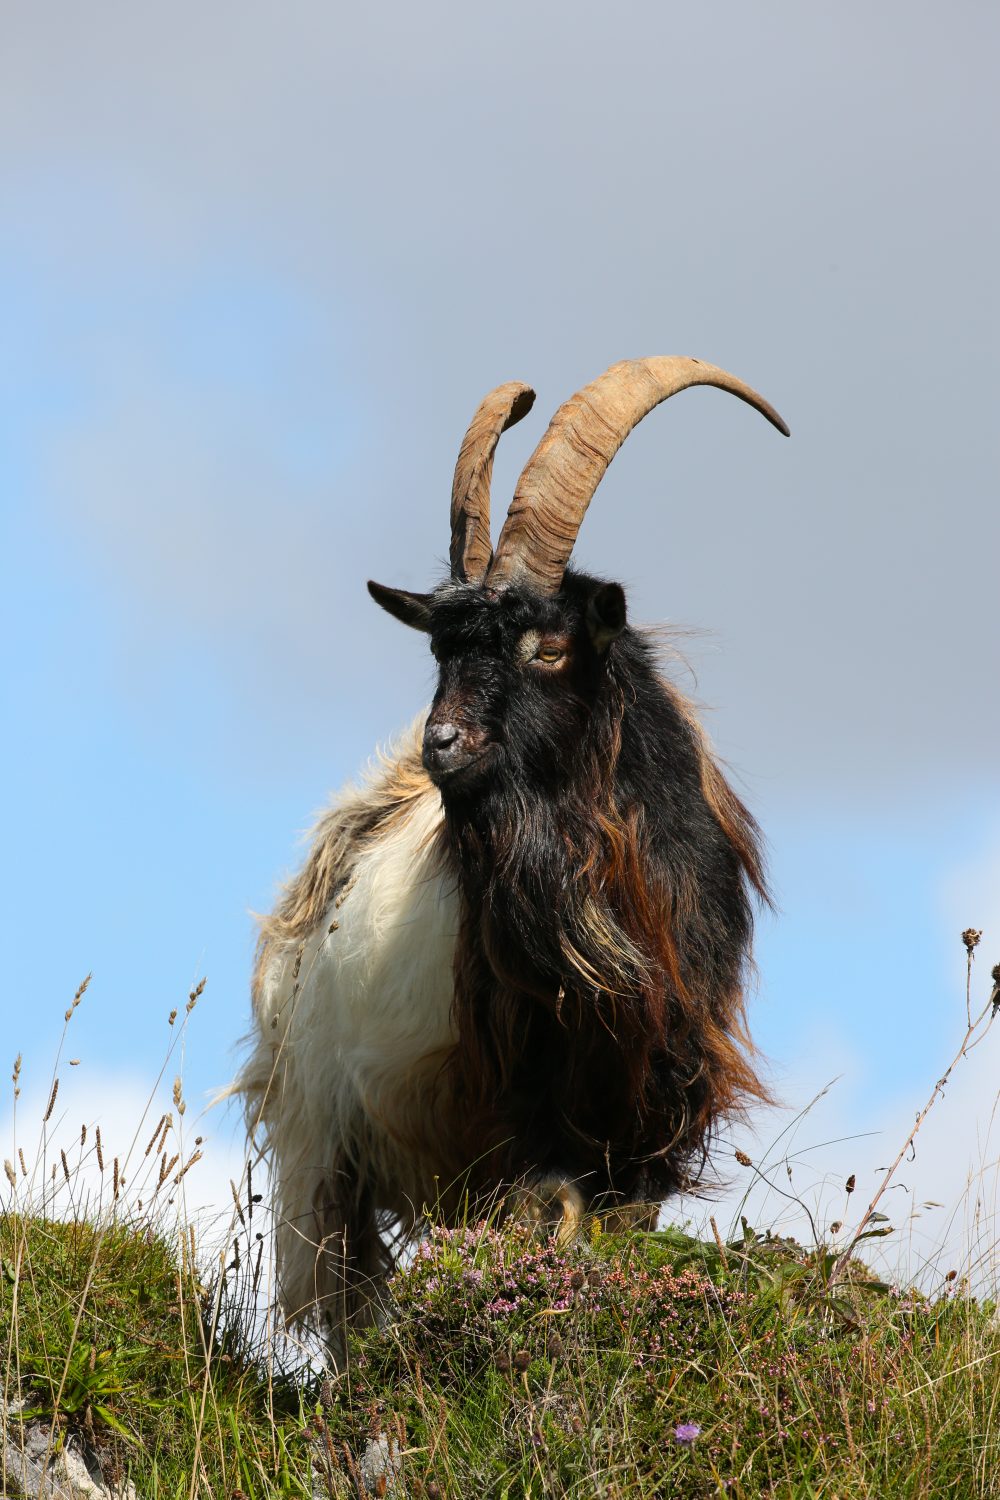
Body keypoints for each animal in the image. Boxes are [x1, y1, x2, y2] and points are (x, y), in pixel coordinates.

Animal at [237, 356, 788, 1350]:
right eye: (440, 653)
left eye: (550, 647)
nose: (442, 743)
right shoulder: (524, 1095)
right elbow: (554, 1216)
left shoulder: (652, 1098)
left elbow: (619, 1226)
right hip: (321, 1135)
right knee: (343, 1295)